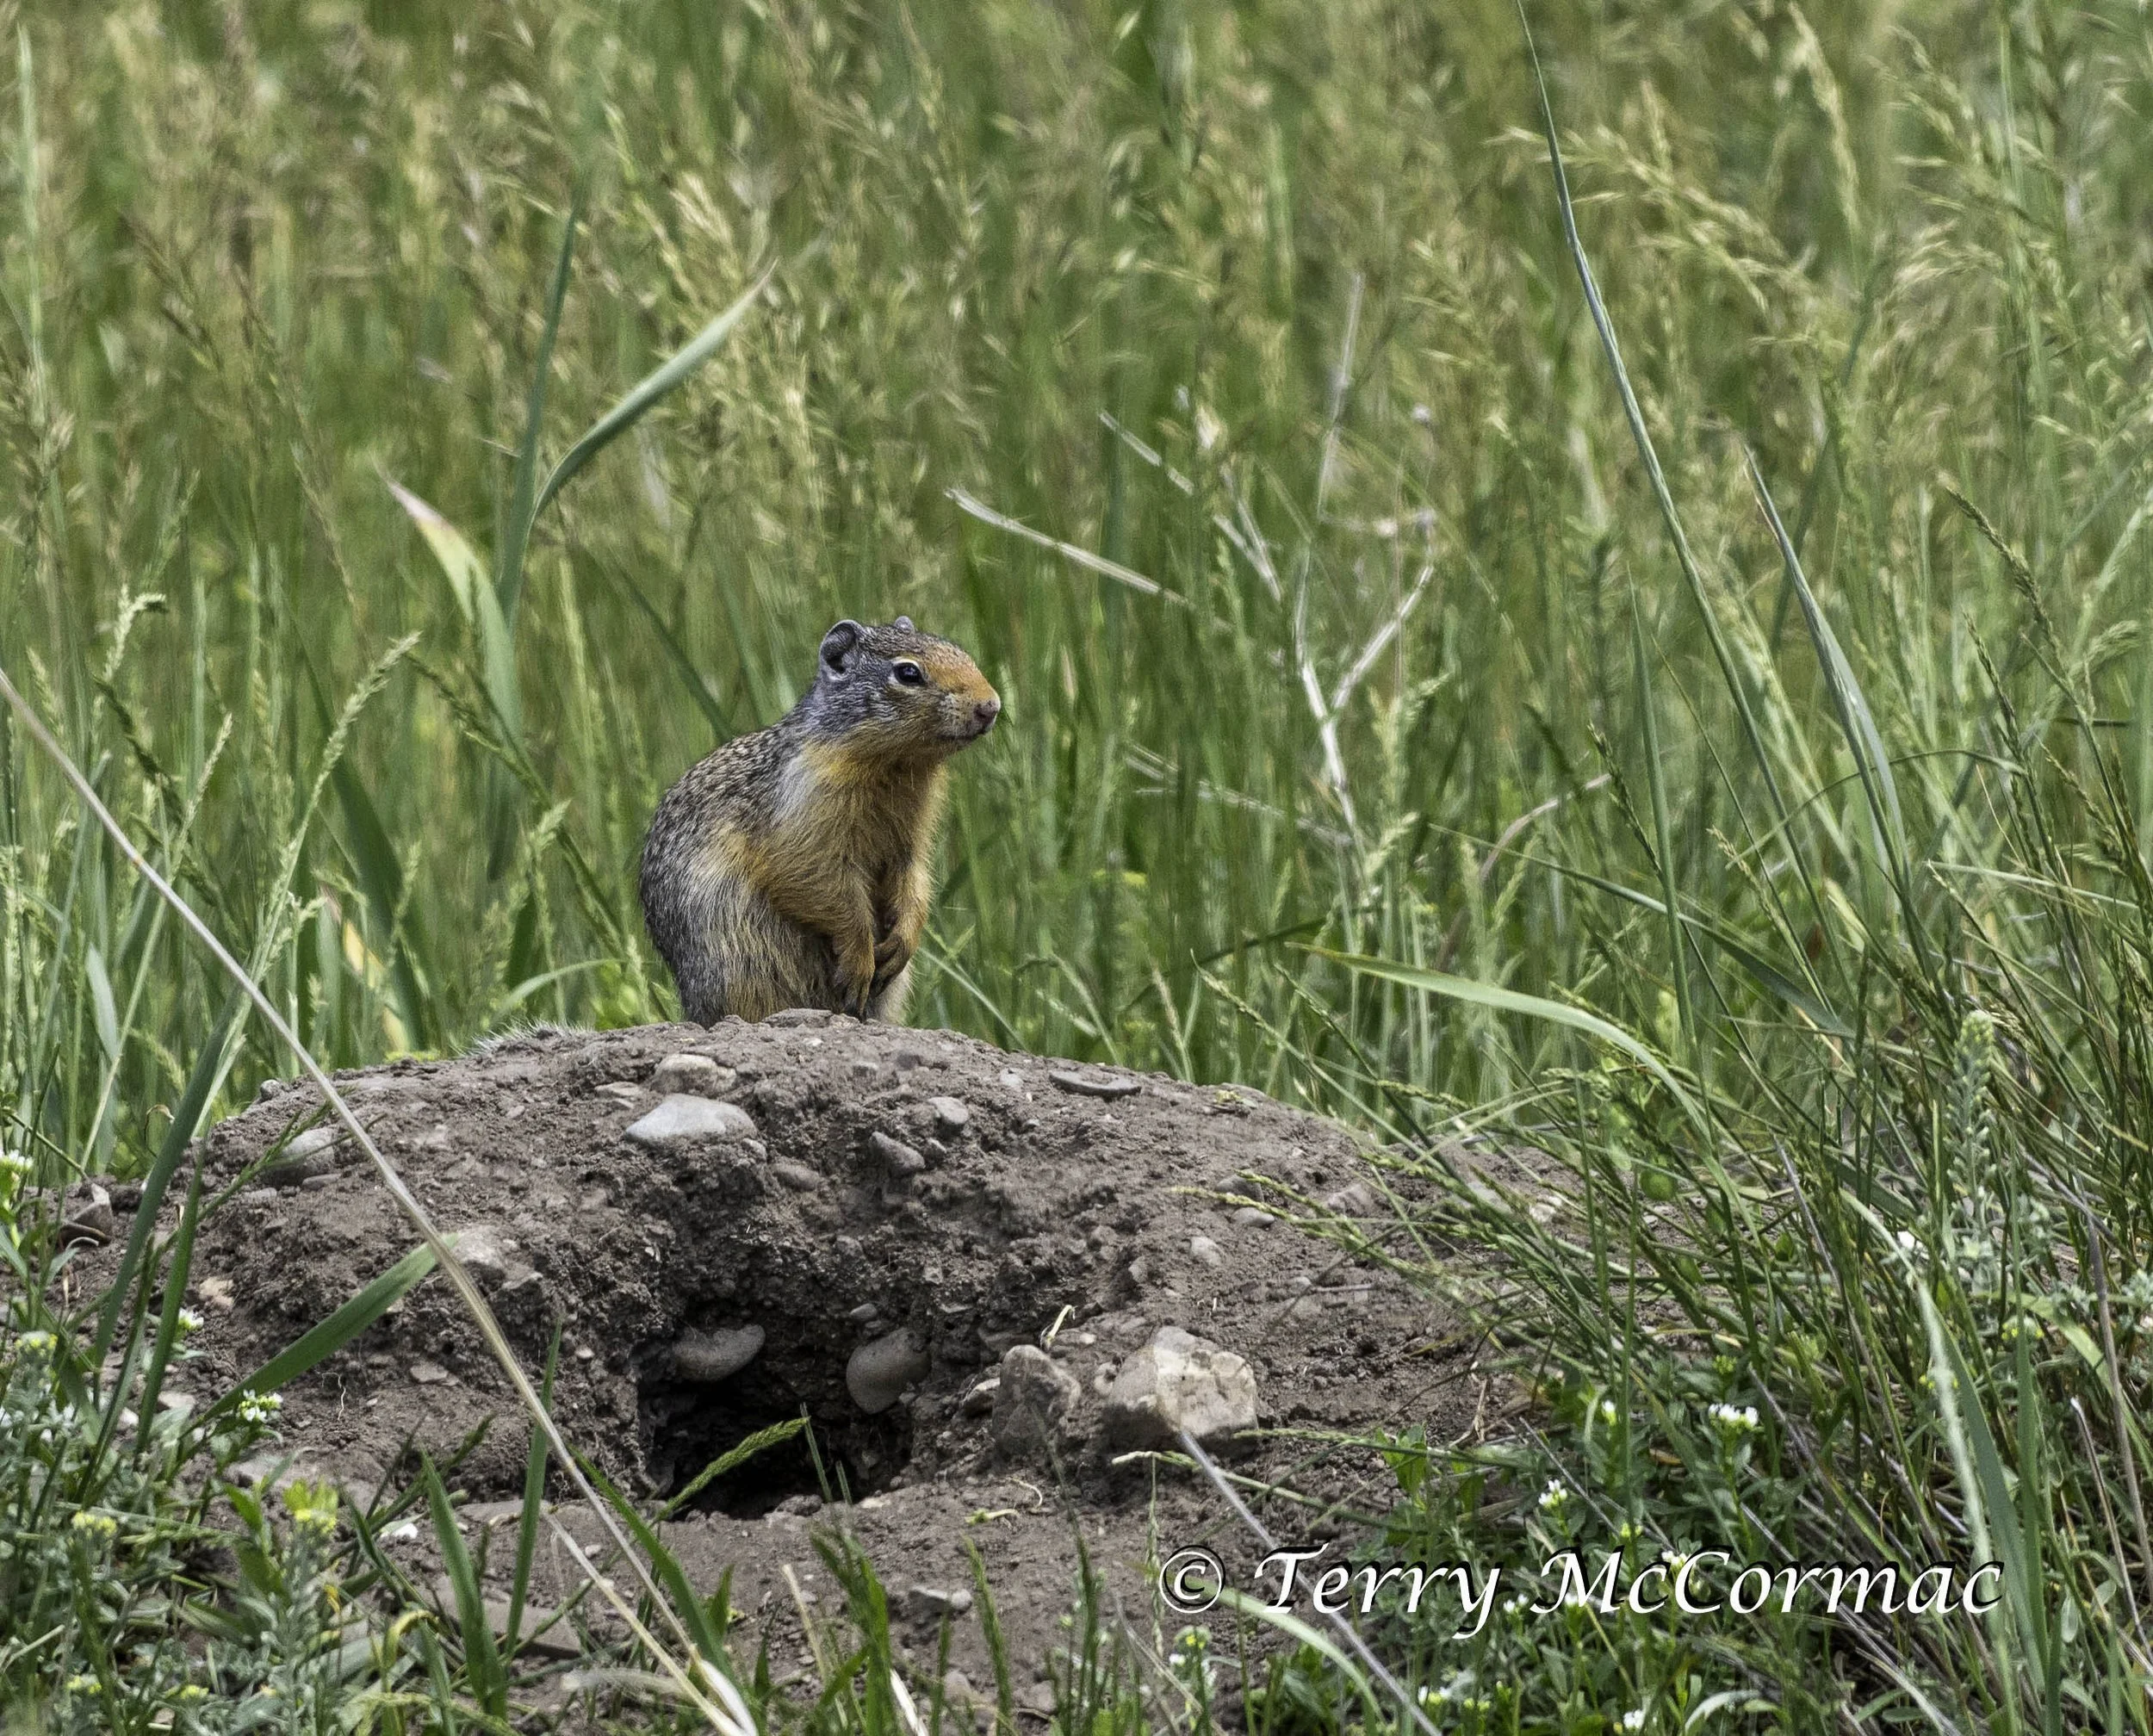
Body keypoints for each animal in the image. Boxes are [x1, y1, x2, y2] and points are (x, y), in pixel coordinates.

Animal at [640, 617, 1000, 1025]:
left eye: (962, 654)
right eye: (908, 673)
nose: (991, 706)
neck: (894, 766)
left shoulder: (910, 838)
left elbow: (914, 879)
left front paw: (902, 942)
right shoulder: (805, 822)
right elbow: (828, 891)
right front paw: (859, 962)